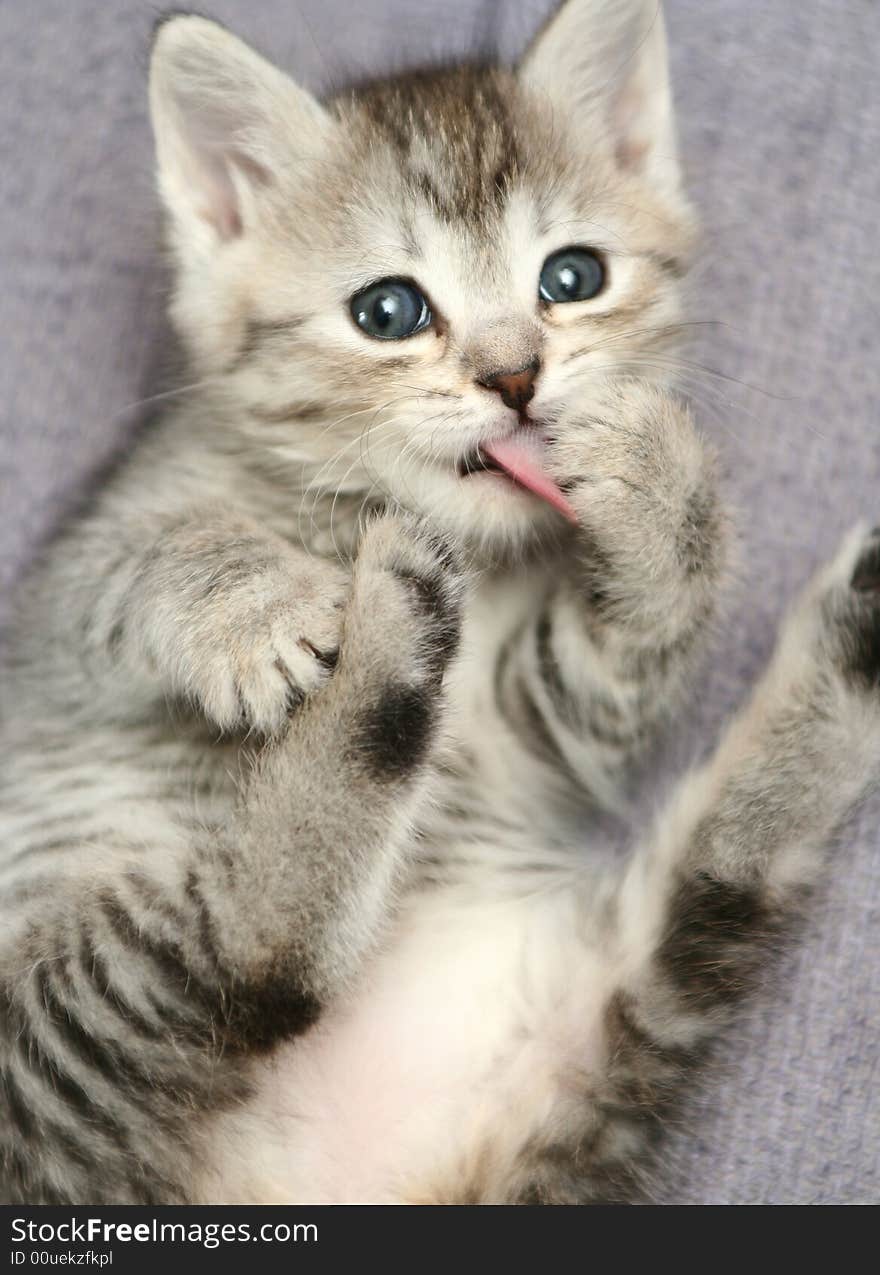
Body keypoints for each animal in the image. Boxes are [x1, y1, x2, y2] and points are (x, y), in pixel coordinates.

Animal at [1, 0, 877, 1198]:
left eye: (572, 278)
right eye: (388, 310)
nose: (514, 376)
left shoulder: (547, 719)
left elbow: (629, 645)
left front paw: (662, 494)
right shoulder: (55, 608)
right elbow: (145, 561)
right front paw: (253, 608)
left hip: (588, 1034)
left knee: (715, 880)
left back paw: (854, 631)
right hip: (33, 1066)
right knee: (240, 962)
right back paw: (380, 663)